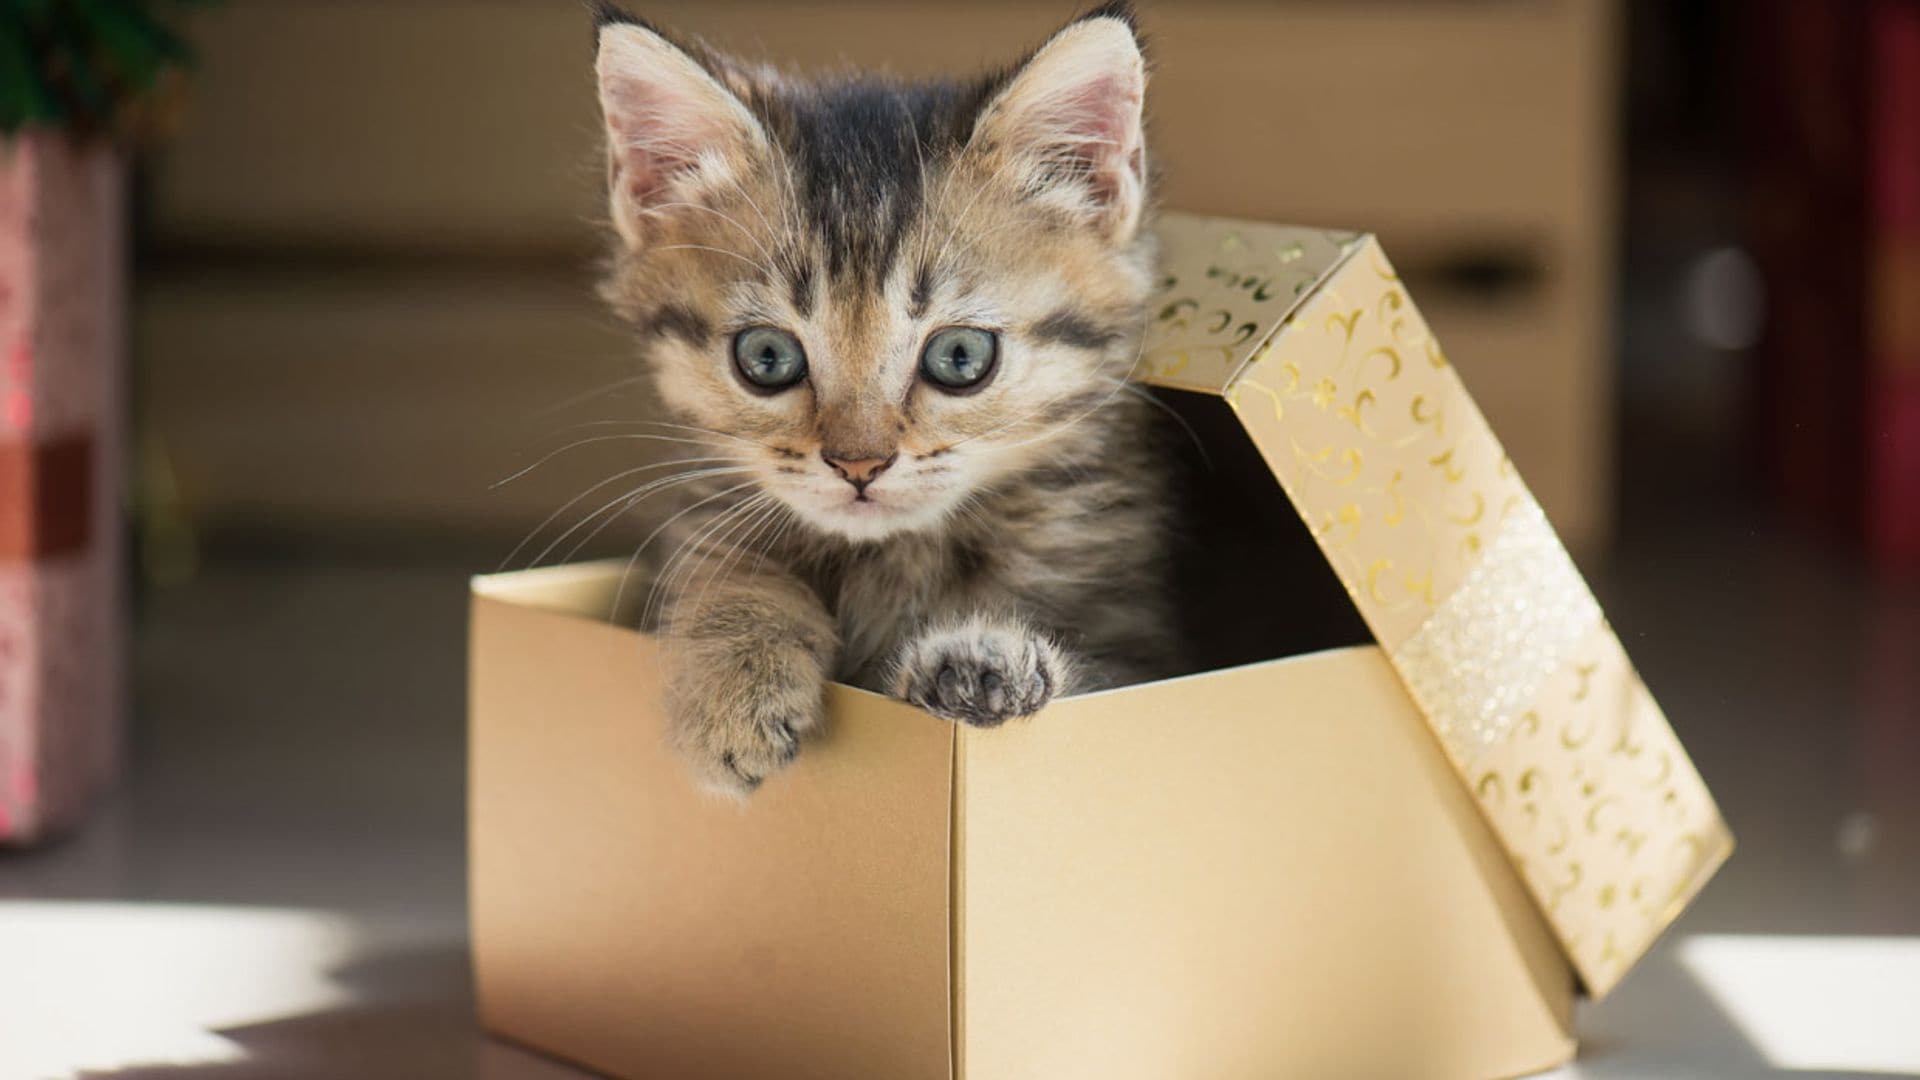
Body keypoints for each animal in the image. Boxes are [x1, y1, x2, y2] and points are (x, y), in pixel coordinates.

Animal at [591, 0, 1175, 791]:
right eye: (766, 358)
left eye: (960, 357)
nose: (859, 465)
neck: (895, 559)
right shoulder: (701, 518)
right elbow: (722, 564)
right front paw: (732, 684)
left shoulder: (1142, 639)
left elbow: (1104, 678)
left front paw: (982, 659)